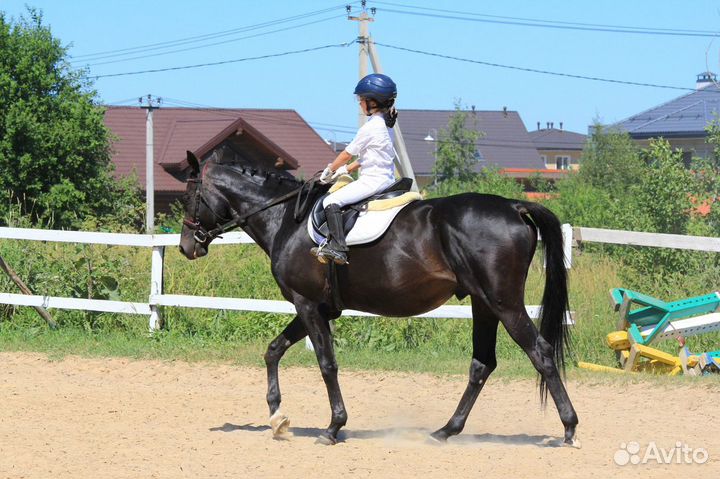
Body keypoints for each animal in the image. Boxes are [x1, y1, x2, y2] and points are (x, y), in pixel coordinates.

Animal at [178, 147, 578, 446]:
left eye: (189, 196)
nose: (186, 247)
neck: (287, 220)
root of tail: (513, 205)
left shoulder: (307, 304)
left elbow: (326, 363)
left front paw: (333, 427)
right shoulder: (317, 306)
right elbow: (274, 350)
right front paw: (277, 418)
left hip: (503, 303)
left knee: (540, 353)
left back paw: (570, 428)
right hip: (483, 304)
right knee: (482, 364)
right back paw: (446, 431)